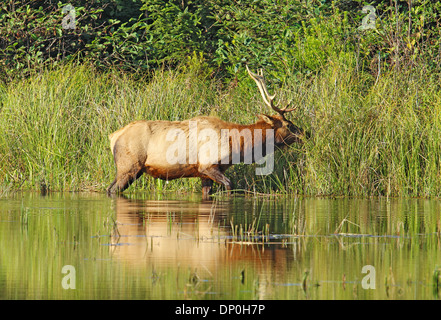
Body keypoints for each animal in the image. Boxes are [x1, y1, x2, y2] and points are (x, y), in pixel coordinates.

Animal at [106, 66, 306, 199]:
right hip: (128, 166)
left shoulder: (203, 174)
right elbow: (229, 186)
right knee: (112, 189)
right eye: (289, 125)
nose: (306, 134)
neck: (237, 145)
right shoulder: (208, 165)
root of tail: (113, 136)